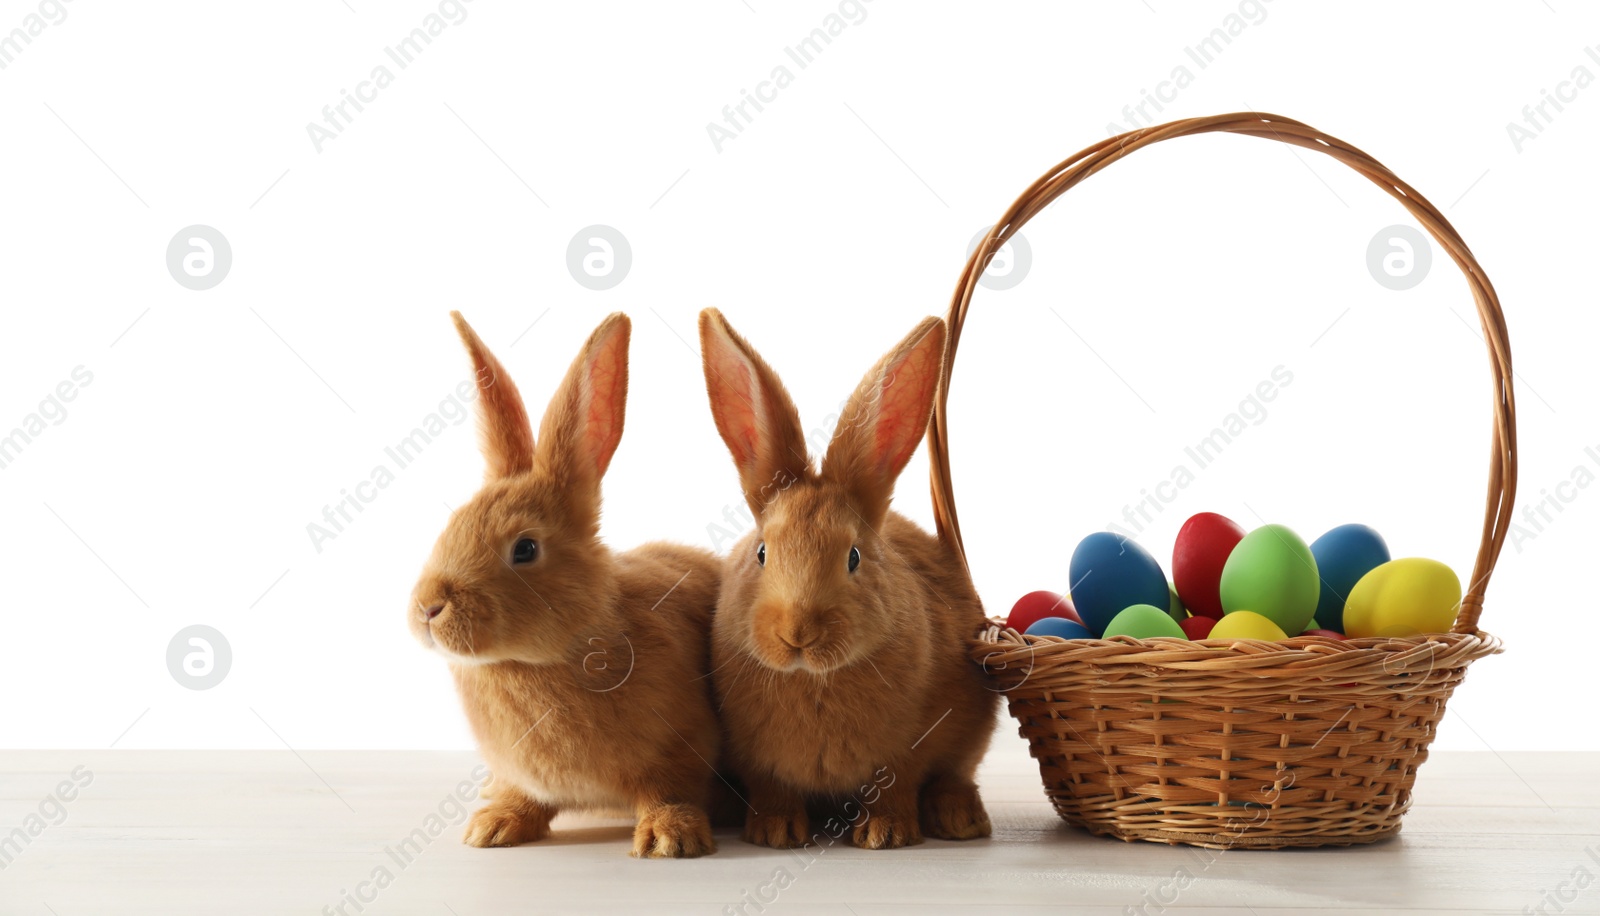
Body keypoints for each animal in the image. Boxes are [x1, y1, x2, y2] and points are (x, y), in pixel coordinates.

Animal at [406, 310, 726, 858]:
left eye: (525, 549)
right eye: (451, 527)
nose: (429, 607)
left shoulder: (683, 745)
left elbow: (669, 790)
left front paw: (670, 838)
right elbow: (525, 797)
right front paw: (493, 827)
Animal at [697, 309, 992, 851]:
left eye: (854, 556)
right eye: (762, 553)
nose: (798, 633)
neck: (814, 678)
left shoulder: (910, 748)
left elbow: (897, 784)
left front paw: (886, 833)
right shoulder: (754, 756)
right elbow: (772, 787)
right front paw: (775, 832)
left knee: (954, 777)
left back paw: (960, 819)